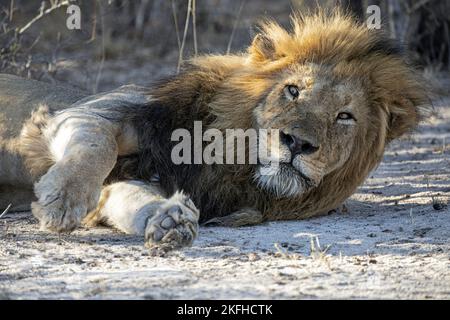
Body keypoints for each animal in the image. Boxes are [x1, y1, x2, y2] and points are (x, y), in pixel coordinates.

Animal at [0, 11, 428, 249]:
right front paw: (61, 199)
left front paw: (168, 219)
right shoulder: (91, 112)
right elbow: (96, 148)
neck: (231, 162)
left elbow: (129, 196)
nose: (297, 143)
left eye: (345, 117)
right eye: (293, 90)